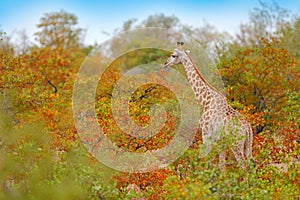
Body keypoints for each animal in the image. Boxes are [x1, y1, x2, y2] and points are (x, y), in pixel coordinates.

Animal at [164, 41, 253, 169]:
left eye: (173, 55)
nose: (165, 63)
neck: (206, 101)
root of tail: (248, 129)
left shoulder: (206, 133)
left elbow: (207, 160)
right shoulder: (221, 141)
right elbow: (221, 165)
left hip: (236, 144)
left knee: (243, 166)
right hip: (247, 145)